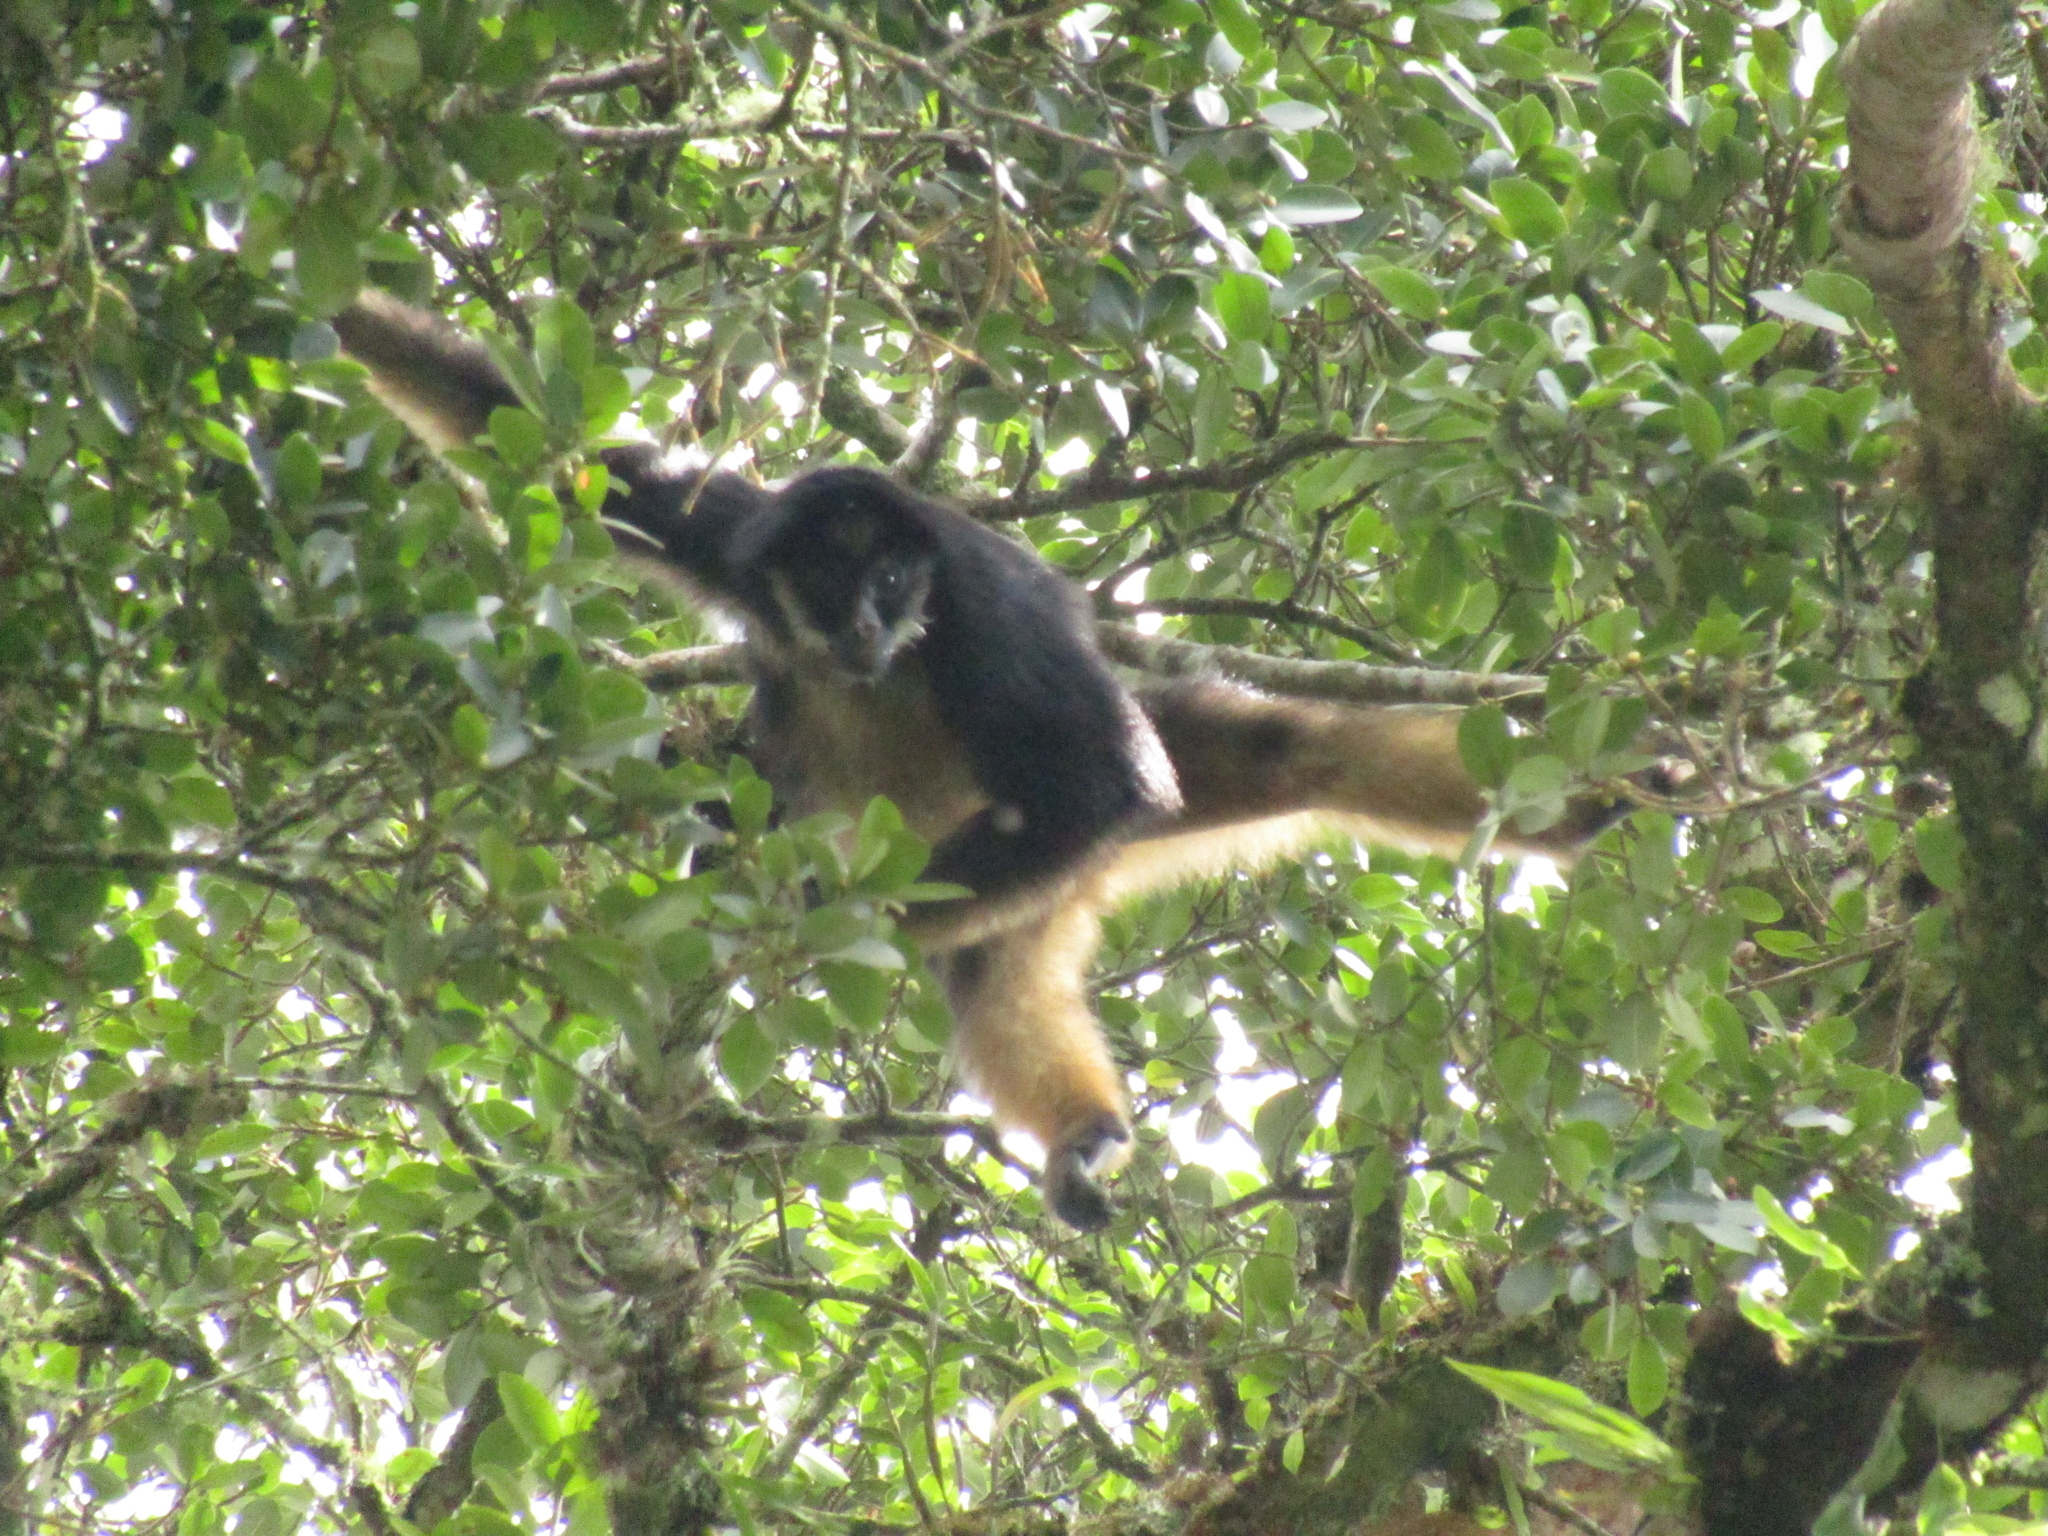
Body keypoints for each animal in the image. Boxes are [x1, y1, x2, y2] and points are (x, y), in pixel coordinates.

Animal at [335, 294, 1613, 1236]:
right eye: (836, 578)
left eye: (898, 579)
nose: (869, 619)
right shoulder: (732, 530)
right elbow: (517, 424)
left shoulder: (985, 605)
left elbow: (1112, 778)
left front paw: (813, 921)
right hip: (1020, 873)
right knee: (993, 976)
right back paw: (1084, 1134)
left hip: (1026, 841)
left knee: (1279, 750)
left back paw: (1591, 796)